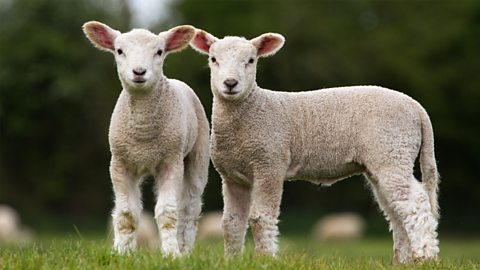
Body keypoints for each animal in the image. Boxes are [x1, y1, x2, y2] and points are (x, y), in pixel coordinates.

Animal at [82, 22, 210, 256]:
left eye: (159, 51)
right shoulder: (120, 163)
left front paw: (171, 254)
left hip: (198, 154)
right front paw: (123, 252)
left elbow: (168, 213)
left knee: (189, 208)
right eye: (119, 51)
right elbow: (126, 214)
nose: (139, 72)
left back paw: (184, 249)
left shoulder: (171, 161)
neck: (143, 135)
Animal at [190, 30, 438, 264]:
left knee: (416, 203)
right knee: (396, 210)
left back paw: (426, 257)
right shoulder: (232, 177)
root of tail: (417, 108)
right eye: (213, 59)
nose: (230, 83)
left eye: (251, 60)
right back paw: (403, 260)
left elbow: (261, 218)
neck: (253, 109)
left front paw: (265, 259)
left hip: (393, 150)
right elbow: (231, 223)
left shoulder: (270, 164)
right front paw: (231, 260)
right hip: (384, 160)